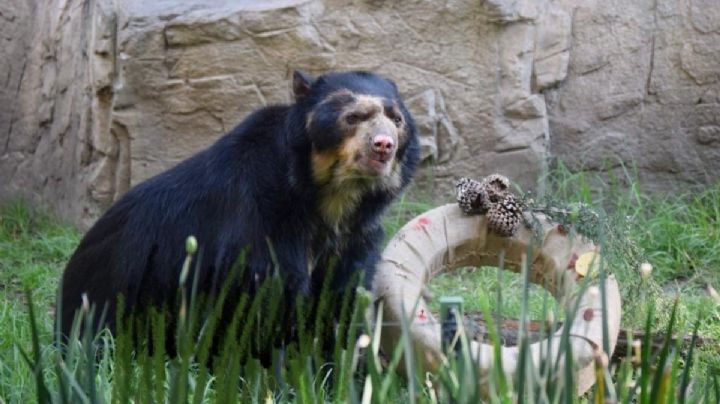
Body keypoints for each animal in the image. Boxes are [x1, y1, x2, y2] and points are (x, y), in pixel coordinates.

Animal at [57, 71, 422, 356]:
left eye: (397, 120)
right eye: (353, 118)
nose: (383, 145)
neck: (331, 200)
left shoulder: (356, 237)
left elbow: (339, 303)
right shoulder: (261, 220)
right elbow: (267, 301)